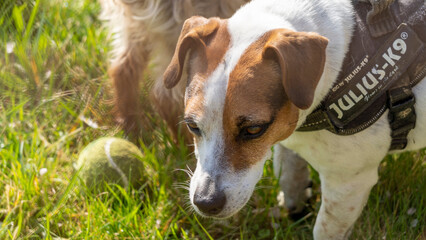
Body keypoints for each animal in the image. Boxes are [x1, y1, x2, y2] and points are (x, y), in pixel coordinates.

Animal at [163, 0, 426, 240]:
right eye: (192, 126)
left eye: (254, 129)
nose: (206, 202)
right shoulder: (290, 143)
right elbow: (289, 175)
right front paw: (295, 206)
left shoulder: (348, 183)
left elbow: (325, 229)